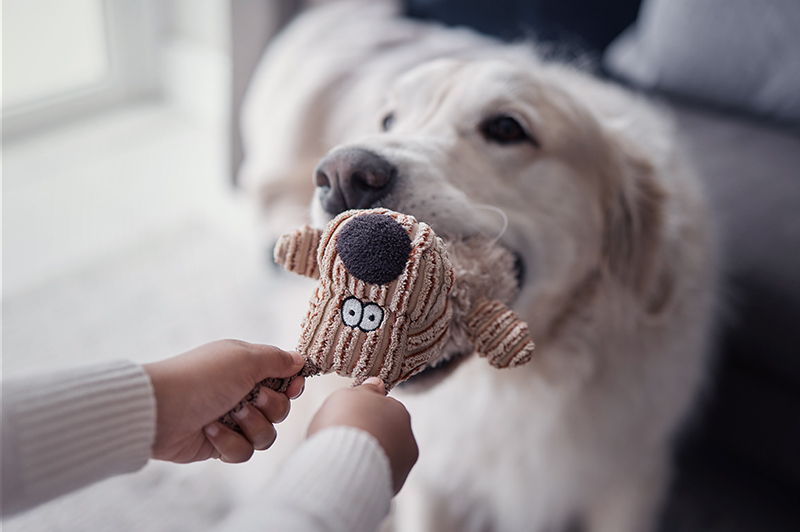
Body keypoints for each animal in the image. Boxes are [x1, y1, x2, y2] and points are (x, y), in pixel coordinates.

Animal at [241, 2, 716, 528]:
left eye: (507, 128)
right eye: (389, 119)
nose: (341, 176)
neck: (521, 385)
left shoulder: (629, 479)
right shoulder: (434, 484)